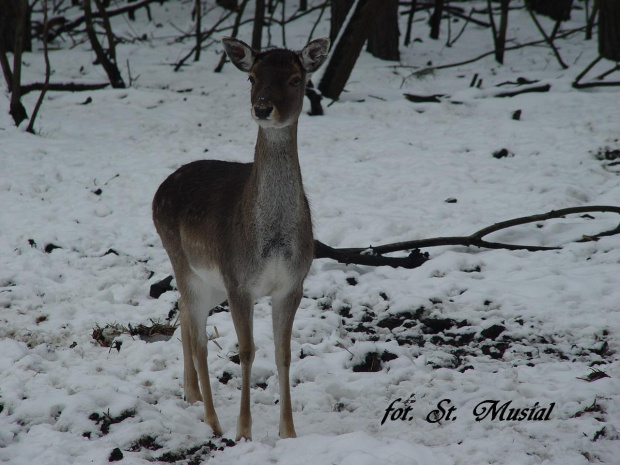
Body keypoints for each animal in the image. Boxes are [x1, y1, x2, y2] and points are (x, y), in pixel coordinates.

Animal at [151, 36, 330, 438]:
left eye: (296, 79)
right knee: (199, 338)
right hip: (182, 260)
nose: (263, 108)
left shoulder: (293, 283)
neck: (273, 239)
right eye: (251, 77)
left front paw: (288, 432)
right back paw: (213, 420)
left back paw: (192, 395)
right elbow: (246, 350)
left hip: (209, 281)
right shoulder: (239, 282)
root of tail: (159, 189)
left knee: (183, 314)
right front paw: (244, 431)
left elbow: (284, 353)